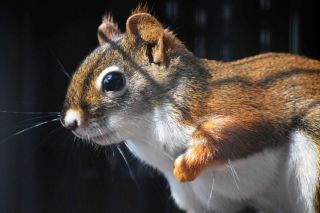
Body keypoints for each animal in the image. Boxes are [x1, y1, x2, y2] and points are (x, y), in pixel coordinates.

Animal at [60, 6, 320, 213]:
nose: (70, 123)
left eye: (112, 81)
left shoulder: (236, 105)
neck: (150, 133)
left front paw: (184, 167)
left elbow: (238, 133)